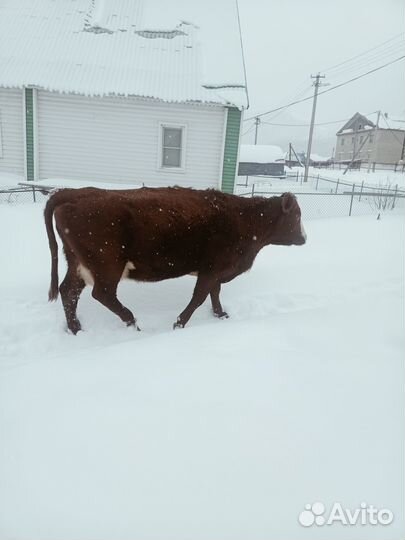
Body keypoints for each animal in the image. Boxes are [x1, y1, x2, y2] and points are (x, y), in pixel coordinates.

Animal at [44, 187, 304, 334]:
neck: (245, 218)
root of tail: (70, 192)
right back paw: (133, 323)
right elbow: (199, 296)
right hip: (107, 265)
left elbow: (214, 292)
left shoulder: (217, 270)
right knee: (102, 294)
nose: (304, 237)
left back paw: (76, 329)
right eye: (297, 215)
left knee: (68, 291)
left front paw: (220, 314)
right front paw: (179, 323)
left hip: (78, 263)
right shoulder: (212, 268)